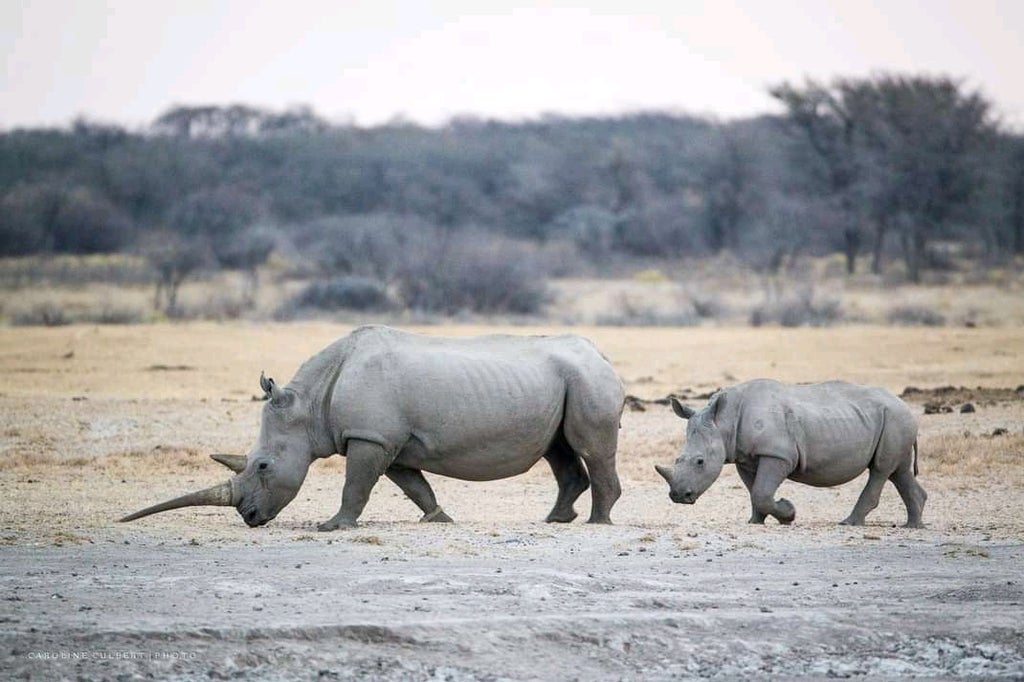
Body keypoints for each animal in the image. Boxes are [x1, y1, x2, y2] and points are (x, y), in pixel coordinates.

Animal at [121, 325, 625, 530]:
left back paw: (597, 523)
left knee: (588, 448)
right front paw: (438, 519)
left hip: (588, 380)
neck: (311, 403)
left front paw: (331, 527)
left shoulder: (369, 435)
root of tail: (601, 353)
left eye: (262, 465)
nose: (248, 517)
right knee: (558, 450)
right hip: (568, 380)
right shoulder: (389, 440)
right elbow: (413, 485)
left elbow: (356, 485)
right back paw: (555, 520)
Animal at [655, 379, 926, 528]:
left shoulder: (778, 455)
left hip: (895, 419)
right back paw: (912, 526)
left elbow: (762, 492)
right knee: (898, 471)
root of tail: (904, 405)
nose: (678, 496)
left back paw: (850, 523)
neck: (724, 421)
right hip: (894, 420)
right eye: (678, 459)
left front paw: (788, 513)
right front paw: (756, 521)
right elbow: (755, 492)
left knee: (880, 469)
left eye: (700, 462)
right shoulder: (746, 457)